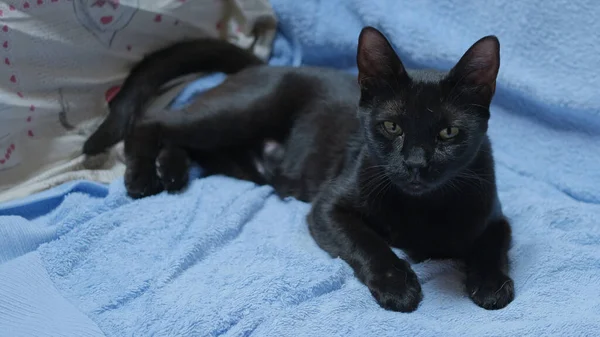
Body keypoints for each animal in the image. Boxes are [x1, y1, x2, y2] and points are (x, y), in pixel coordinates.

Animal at [83, 26, 516, 312]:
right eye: (392, 127)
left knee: (181, 143)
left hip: (237, 158)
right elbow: (368, 242)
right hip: (237, 114)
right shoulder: (328, 208)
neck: (421, 207)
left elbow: (493, 244)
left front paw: (491, 283)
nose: (415, 163)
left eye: (448, 132)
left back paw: (173, 173)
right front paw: (397, 284)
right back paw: (142, 178)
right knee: (152, 122)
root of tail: (262, 66)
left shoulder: (494, 215)